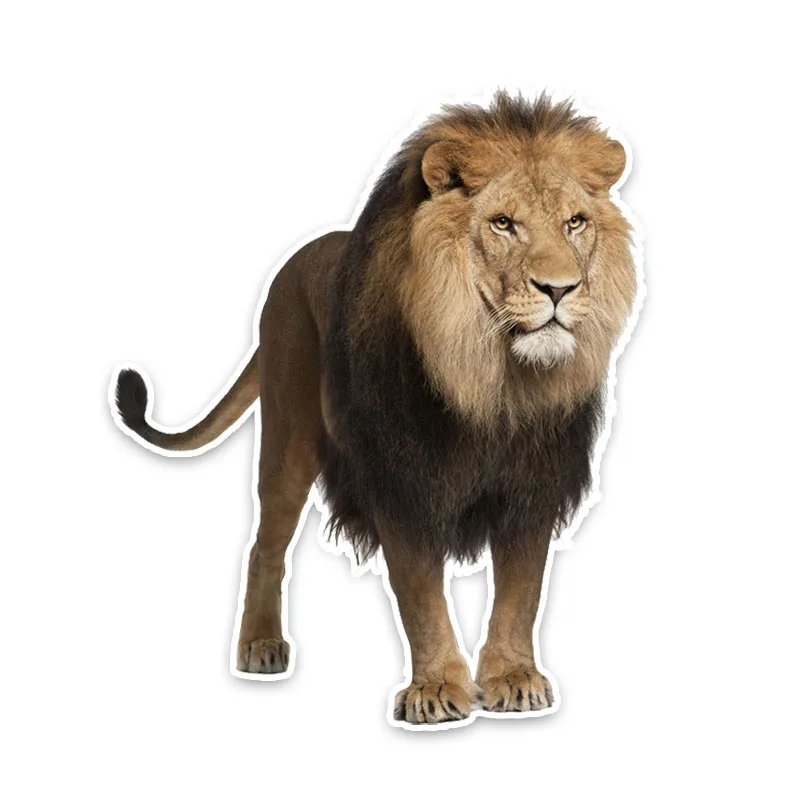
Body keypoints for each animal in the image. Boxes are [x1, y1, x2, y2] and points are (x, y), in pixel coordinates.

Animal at [112, 91, 639, 726]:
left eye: (574, 222)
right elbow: (420, 595)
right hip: (288, 437)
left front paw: (513, 678)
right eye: (503, 223)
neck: (491, 380)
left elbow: (521, 592)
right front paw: (436, 688)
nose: (559, 289)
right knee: (265, 545)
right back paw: (260, 644)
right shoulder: (401, 478)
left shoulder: (532, 484)